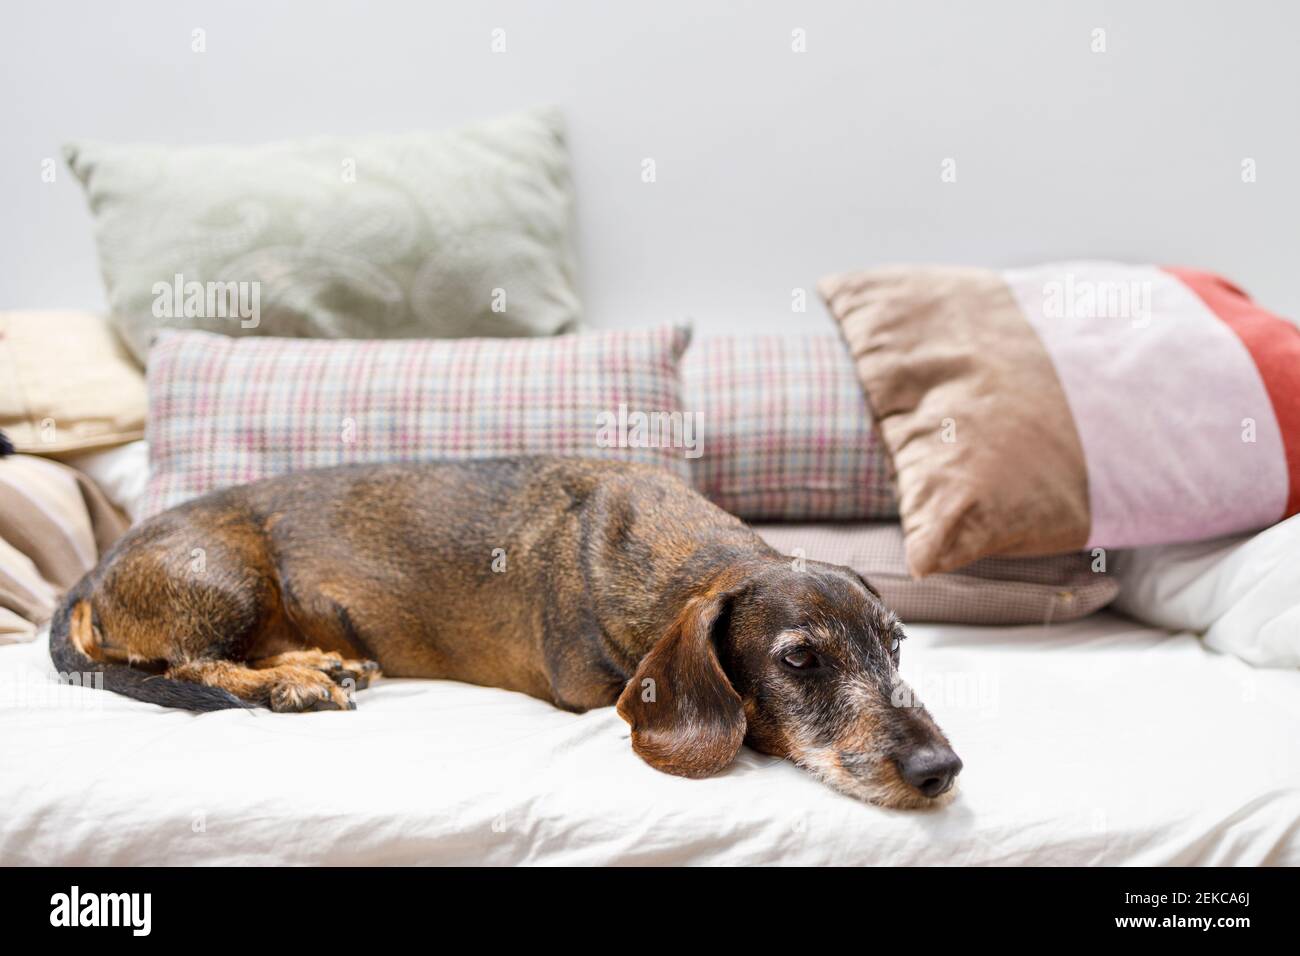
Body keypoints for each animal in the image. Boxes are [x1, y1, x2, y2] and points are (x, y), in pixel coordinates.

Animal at [48, 455, 967, 806]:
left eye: (896, 644)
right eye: (801, 657)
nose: (941, 769)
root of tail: (94, 572)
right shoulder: (591, 687)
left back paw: (321, 661)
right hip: (226, 574)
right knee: (192, 664)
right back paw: (292, 682)